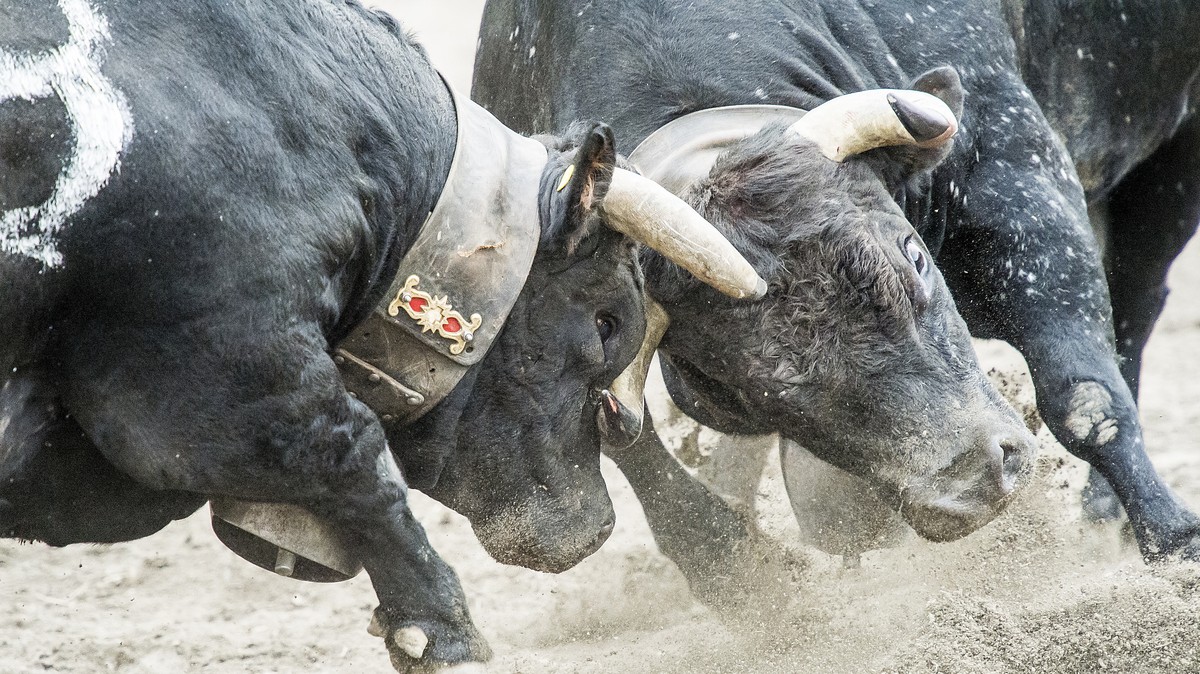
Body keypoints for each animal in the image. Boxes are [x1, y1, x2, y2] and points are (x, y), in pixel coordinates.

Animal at [471, 0, 1200, 598]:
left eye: (912, 256)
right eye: (759, 382)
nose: (975, 479)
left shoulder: (1026, 201)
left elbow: (1085, 398)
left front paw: (1173, 542)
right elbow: (637, 459)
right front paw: (739, 578)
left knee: (1136, 304)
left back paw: (1105, 510)